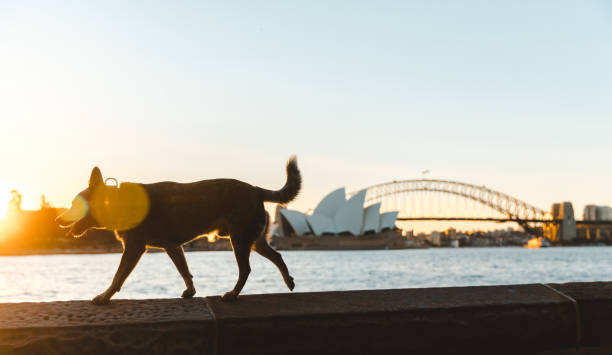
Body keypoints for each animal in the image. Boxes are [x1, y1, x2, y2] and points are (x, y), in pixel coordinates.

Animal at [56, 157, 300, 304]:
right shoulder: (172, 247)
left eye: (75, 204)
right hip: (254, 240)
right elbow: (184, 271)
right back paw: (288, 281)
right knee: (277, 256)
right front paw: (190, 291)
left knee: (246, 270)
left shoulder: (134, 248)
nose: (57, 219)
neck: (117, 203)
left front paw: (104, 296)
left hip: (239, 240)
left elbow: (118, 277)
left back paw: (232, 294)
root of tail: (256, 190)